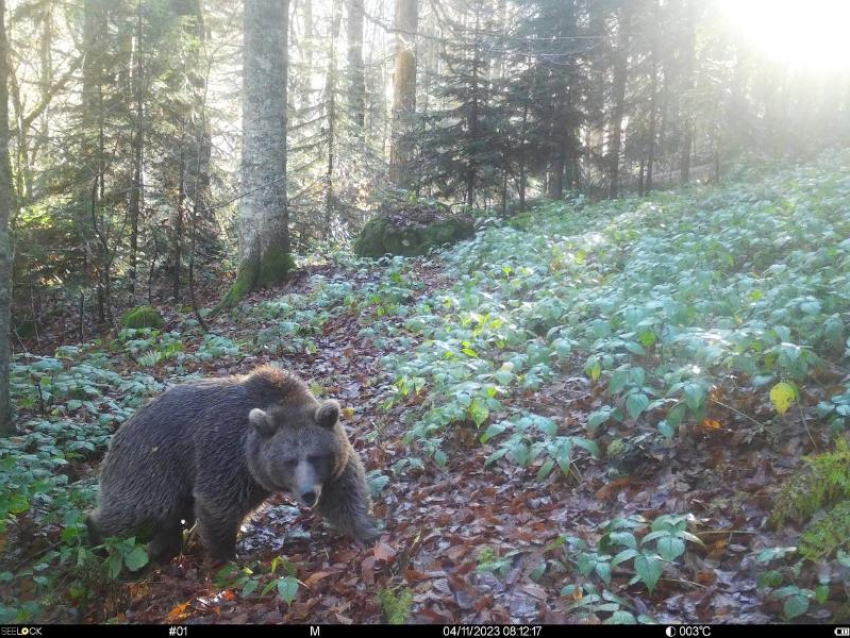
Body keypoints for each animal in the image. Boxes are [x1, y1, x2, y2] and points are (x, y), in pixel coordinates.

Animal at [85, 368, 378, 564]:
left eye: (315, 456)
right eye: (289, 460)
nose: (308, 494)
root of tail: (119, 432)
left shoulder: (329, 466)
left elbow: (344, 492)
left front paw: (367, 531)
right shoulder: (228, 458)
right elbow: (218, 505)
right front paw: (228, 555)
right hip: (151, 467)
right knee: (140, 511)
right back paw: (97, 539)